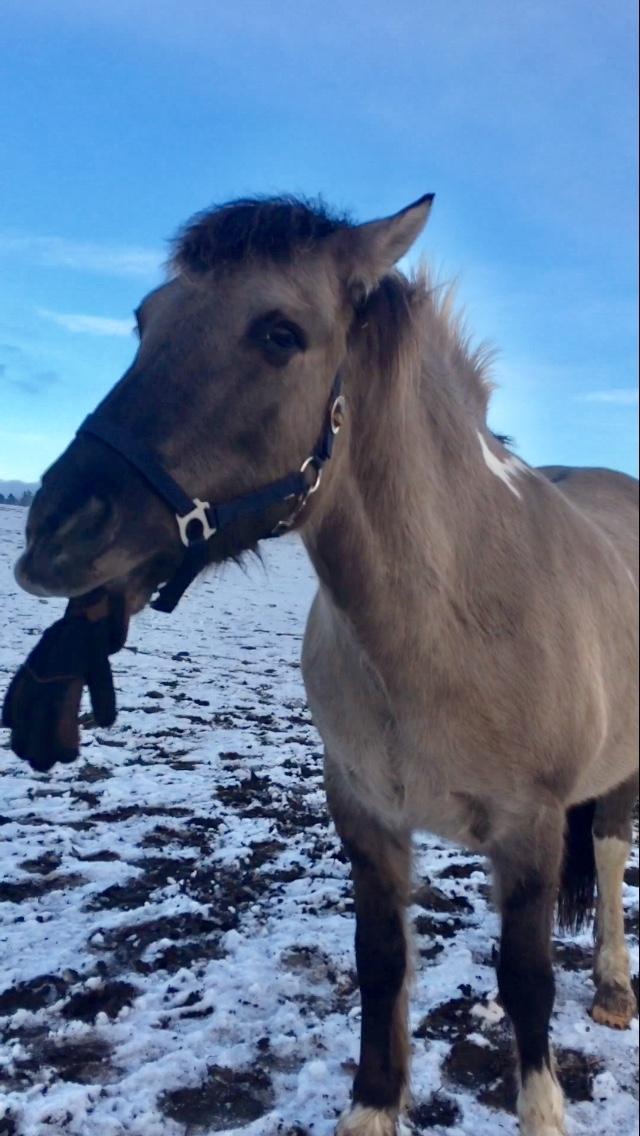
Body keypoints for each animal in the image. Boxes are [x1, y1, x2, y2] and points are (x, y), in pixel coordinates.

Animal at [15, 197, 636, 1136]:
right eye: (145, 320)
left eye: (280, 334)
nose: (54, 531)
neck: (446, 626)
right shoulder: (366, 815)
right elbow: (381, 962)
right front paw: (374, 1108)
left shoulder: (528, 831)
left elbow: (529, 984)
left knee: (606, 854)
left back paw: (612, 987)